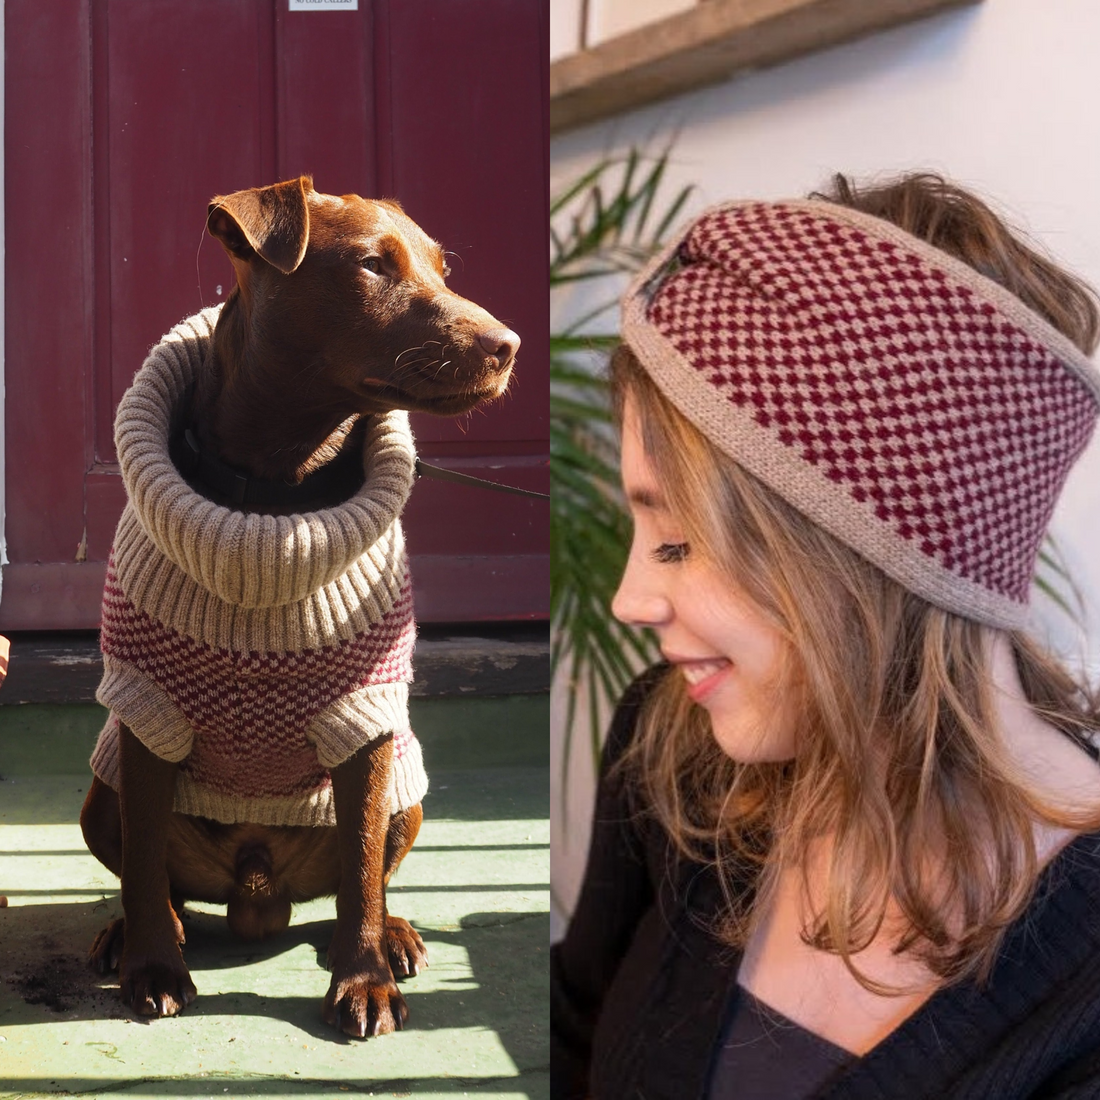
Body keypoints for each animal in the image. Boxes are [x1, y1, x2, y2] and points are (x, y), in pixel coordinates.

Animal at [79, 176, 517, 1034]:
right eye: (374, 265)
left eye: (444, 268)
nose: (509, 344)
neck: (276, 498)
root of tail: (258, 893)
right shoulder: (146, 712)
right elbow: (143, 865)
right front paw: (154, 968)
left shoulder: (365, 716)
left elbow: (360, 865)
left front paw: (363, 981)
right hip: (101, 789)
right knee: (158, 879)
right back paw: (139, 933)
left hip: (407, 794)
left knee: (359, 882)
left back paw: (395, 936)